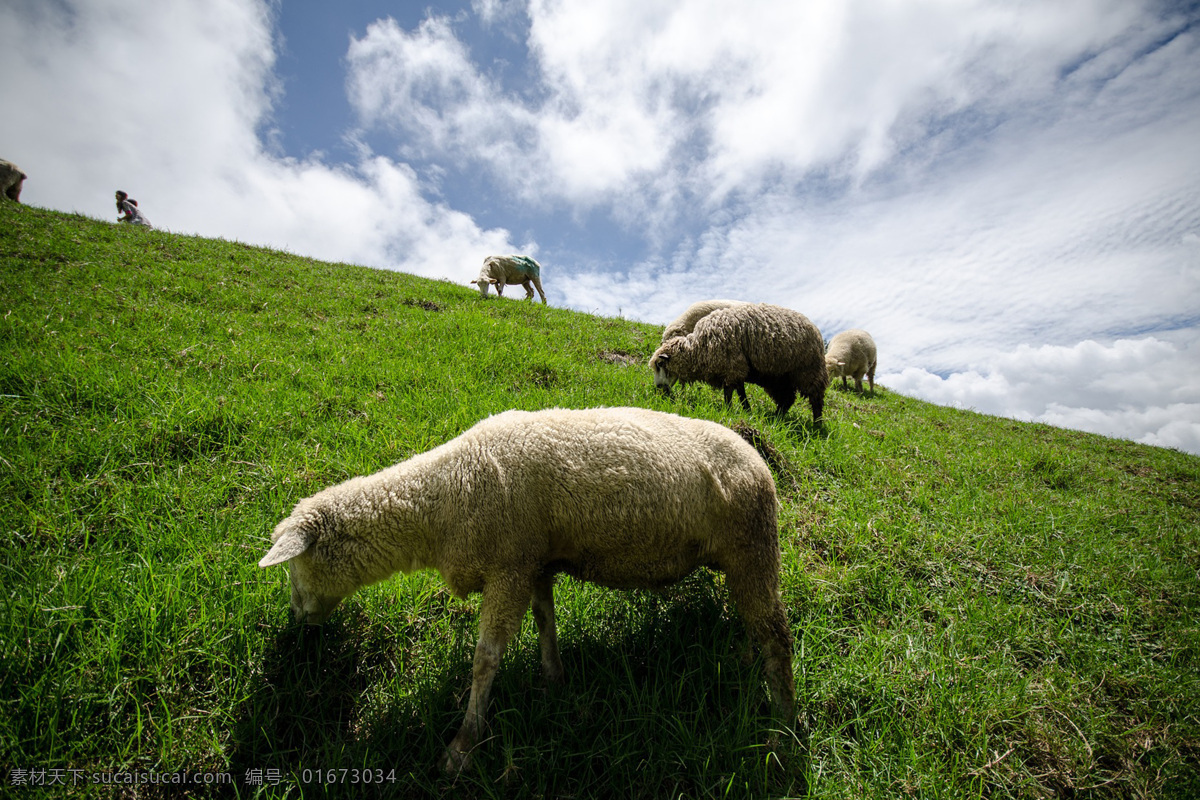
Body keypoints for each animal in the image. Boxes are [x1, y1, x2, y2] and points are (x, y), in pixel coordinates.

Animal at [259, 406, 794, 773]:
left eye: (292, 569)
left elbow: (485, 659)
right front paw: (553, 678)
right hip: (738, 559)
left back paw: (783, 727)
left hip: (754, 545)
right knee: (753, 623)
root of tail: (756, 457)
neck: (444, 500)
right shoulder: (534, 562)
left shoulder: (509, 567)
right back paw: (748, 665)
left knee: (777, 636)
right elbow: (544, 621)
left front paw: (462, 746)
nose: (296, 623)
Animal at [650, 303, 829, 423]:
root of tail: (815, 329)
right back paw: (775, 418)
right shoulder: (736, 368)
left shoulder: (733, 365)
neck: (698, 349)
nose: (658, 389)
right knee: (787, 399)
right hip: (778, 377)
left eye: (660, 365)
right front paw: (746, 410)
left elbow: (730, 392)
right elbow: (740, 391)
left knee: (815, 398)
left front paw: (729, 409)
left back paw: (817, 426)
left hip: (808, 369)